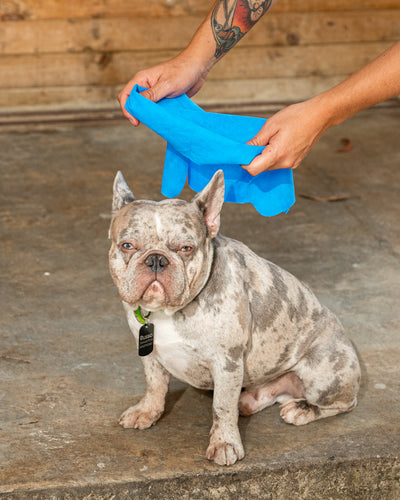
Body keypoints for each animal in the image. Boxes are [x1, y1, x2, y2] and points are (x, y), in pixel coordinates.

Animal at [108, 170, 360, 466]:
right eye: (127, 245)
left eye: (186, 248)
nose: (156, 259)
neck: (167, 312)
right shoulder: (151, 353)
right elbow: (155, 385)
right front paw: (147, 412)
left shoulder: (227, 362)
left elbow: (222, 407)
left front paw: (224, 443)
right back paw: (249, 402)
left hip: (324, 373)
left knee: (344, 404)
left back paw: (302, 409)